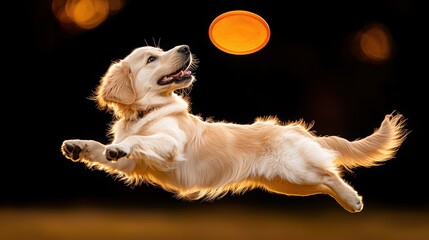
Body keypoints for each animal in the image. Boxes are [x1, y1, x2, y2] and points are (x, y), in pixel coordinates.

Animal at [59, 44, 404, 213]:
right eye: (151, 59)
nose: (185, 47)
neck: (147, 112)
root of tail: (297, 130)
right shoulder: (132, 166)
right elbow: (100, 149)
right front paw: (78, 145)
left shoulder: (170, 144)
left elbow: (142, 142)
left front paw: (122, 145)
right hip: (289, 183)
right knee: (324, 181)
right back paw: (348, 201)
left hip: (296, 171)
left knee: (330, 174)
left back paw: (353, 199)